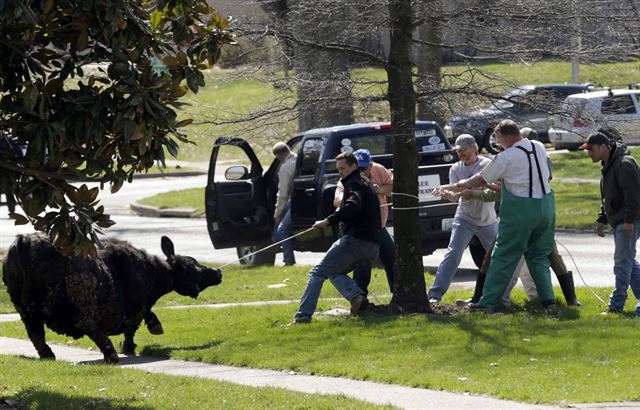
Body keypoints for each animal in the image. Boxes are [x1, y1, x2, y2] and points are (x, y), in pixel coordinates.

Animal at [2, 232, 222, 364]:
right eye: (193, 267)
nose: (218, 272)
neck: (152, 271)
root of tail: (25, 240)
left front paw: (153, 325)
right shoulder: (136, 308)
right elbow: (131, 329)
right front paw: (129, 347)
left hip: (25, 310)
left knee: (36, 334)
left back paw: (48, 355)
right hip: (81, 303)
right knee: (88, 326)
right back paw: (111, 355)